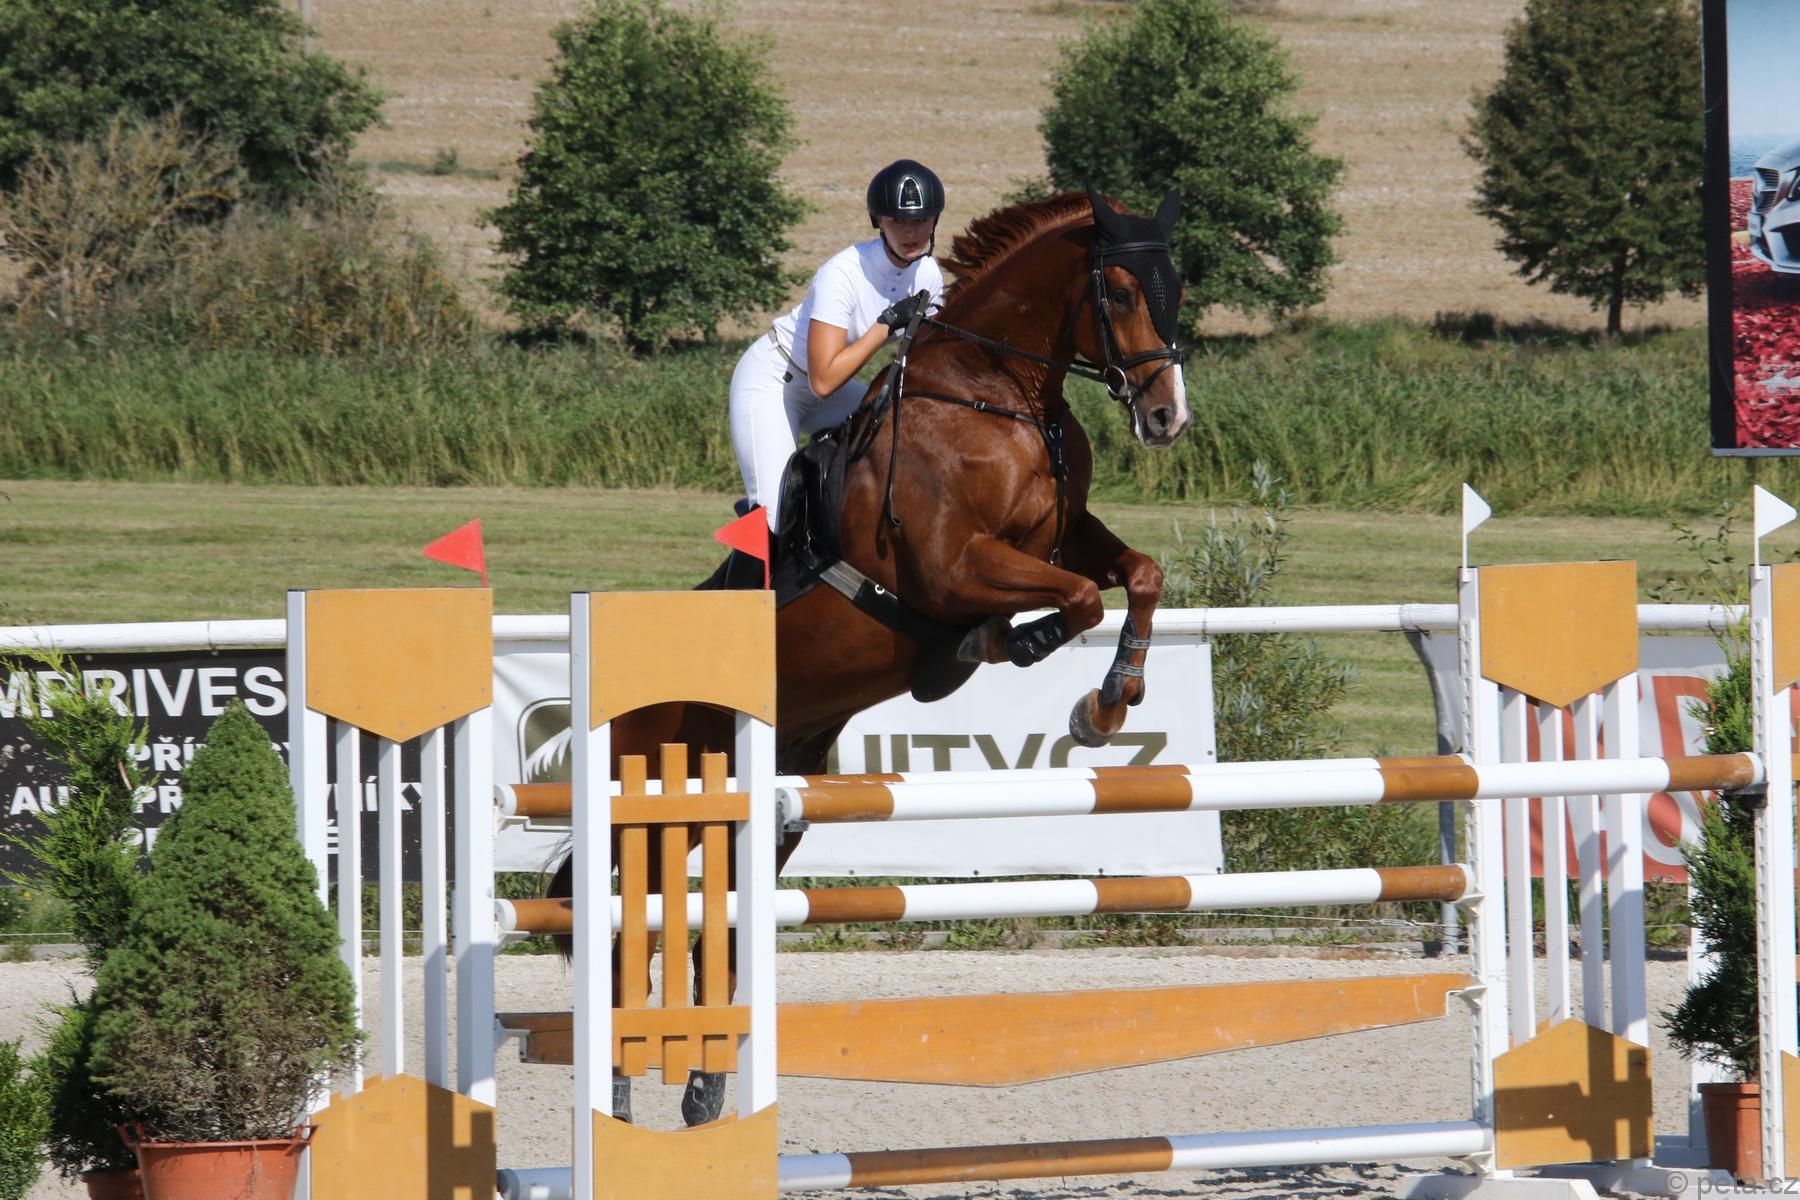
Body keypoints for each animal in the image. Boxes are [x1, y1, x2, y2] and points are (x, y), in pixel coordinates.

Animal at [554, 186, 1191, 1125]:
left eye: (1176, 288)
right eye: (1116, 292)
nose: (1166, 418)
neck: (995, 395)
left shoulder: (1066, 535)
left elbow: (1136, 577)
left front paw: (1111, 702)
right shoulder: (953, 567)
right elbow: (1071, 601)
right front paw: (1013, 654)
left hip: (769, 796)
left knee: (719, 933)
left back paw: (703, 1091)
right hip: (648, 793)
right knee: (617, 924)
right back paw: (623, 1095)